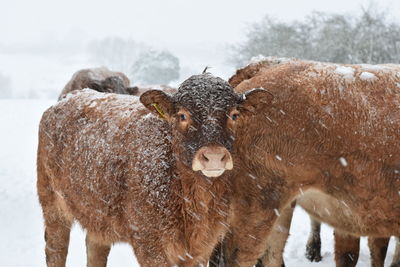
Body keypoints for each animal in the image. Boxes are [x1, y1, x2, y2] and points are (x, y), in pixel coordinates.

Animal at [37, 73, 268, 267]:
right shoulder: (148, 242)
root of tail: (73, 96)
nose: (213, 156)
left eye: (234, 115)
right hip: (52, 205)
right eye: (182, 116)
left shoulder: (202, 247)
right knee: (55, 250)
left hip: (97, 212)